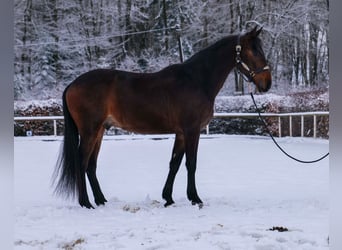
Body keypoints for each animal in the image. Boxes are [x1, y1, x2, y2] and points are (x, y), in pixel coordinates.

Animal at [54, 26, 272, 208]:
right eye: (254, 51)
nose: (267, 83)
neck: (196, 80)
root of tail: (72, 84)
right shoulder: (192, 131)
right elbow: (191, 163)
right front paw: (195, 198)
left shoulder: (181, 133)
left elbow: (174, 163)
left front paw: (168, 197)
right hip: (90, 131)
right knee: (82, 162)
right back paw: (86, 203)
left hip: (99, 130)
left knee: (91, 166)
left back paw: (101, 200)